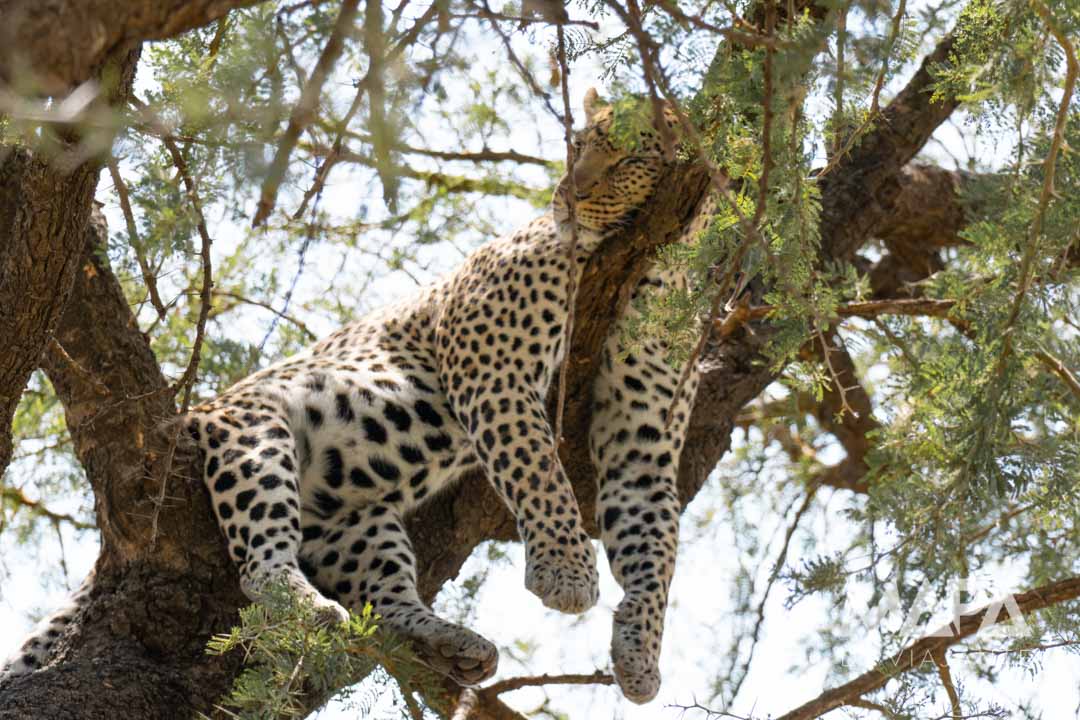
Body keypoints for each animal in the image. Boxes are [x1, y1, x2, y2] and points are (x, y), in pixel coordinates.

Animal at [2, 89, 709, 706]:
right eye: (578, 147)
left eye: (629, 159)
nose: (569, 196)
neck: (655, 267)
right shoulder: (490, 363)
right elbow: (538, 468)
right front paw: (566, 573)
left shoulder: (642, 436)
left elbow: (655, 545)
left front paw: (640, 656)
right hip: (255, 429)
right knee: (262, 564)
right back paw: (311, 608)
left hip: (356, 521)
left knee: (388, 600)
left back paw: (449, 641)